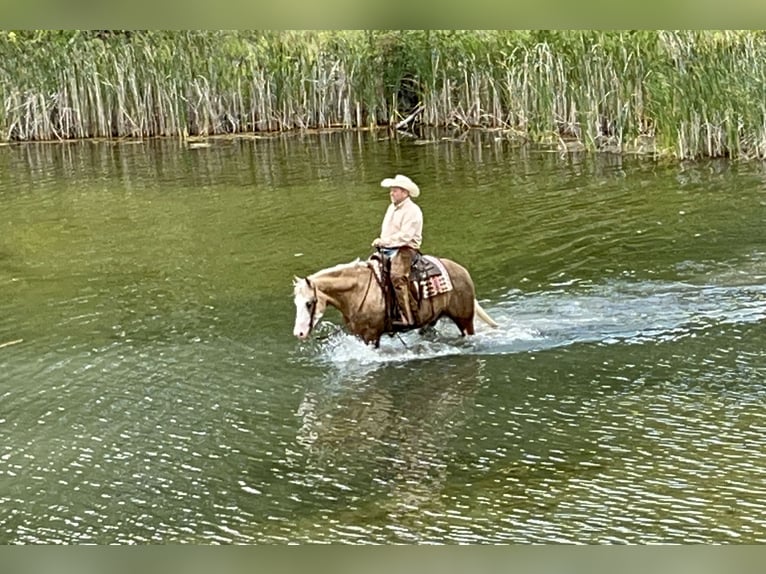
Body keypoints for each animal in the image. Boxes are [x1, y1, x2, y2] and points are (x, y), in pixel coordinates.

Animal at [292, 256, 498, 346]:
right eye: (296, 303)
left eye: (309, 303)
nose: (298, 333)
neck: (357, 291)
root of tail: (462, 271)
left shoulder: (371, 336)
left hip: (465, 321)